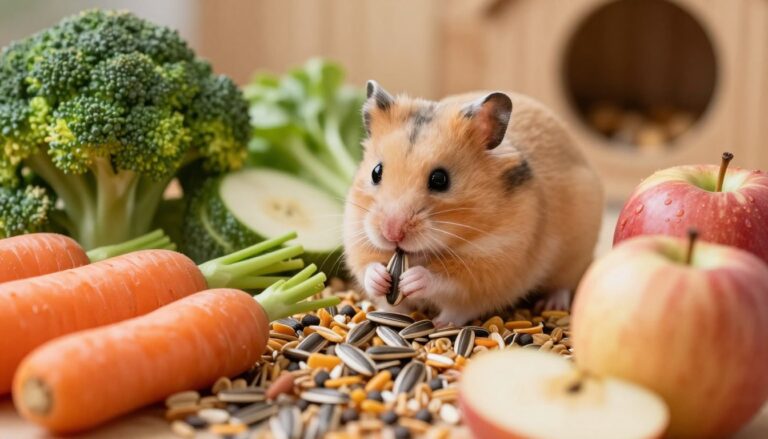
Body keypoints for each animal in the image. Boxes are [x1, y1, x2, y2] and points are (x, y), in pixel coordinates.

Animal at [342, 81, 604, 326]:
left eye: (440, 180)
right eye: (376, 172)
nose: (391, 233)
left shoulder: (490, 266)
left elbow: (446, 281)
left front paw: (413, 280)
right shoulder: (357, 235)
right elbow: (367, 269)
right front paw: (380, 279)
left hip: (574, 256)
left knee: (564, 284)